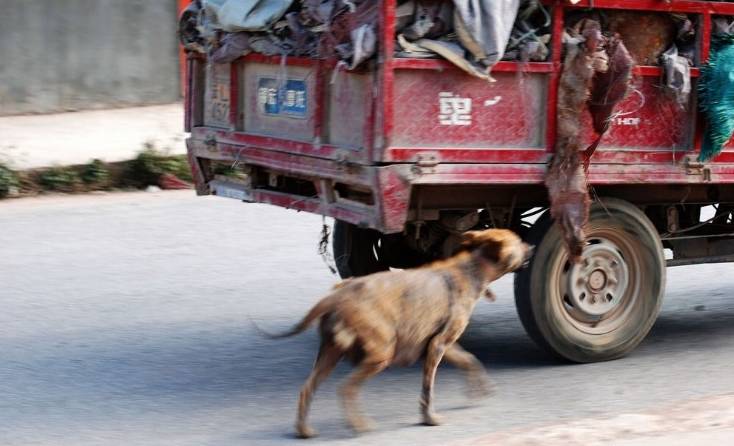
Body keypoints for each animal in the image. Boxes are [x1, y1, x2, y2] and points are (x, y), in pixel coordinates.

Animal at [264, 228, 536, 438]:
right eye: (518, 240)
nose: (532, 246)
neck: (473, 268)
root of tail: (337, 295)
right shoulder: (438, 346)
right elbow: (428, 389)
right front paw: (429, 417)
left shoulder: (443, 344)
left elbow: (469, 360)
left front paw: (480, 387)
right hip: (379, 354)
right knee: (346, 389)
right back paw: (359, 425)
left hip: (330, 353)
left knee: (307, 389)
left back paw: (304, 430)